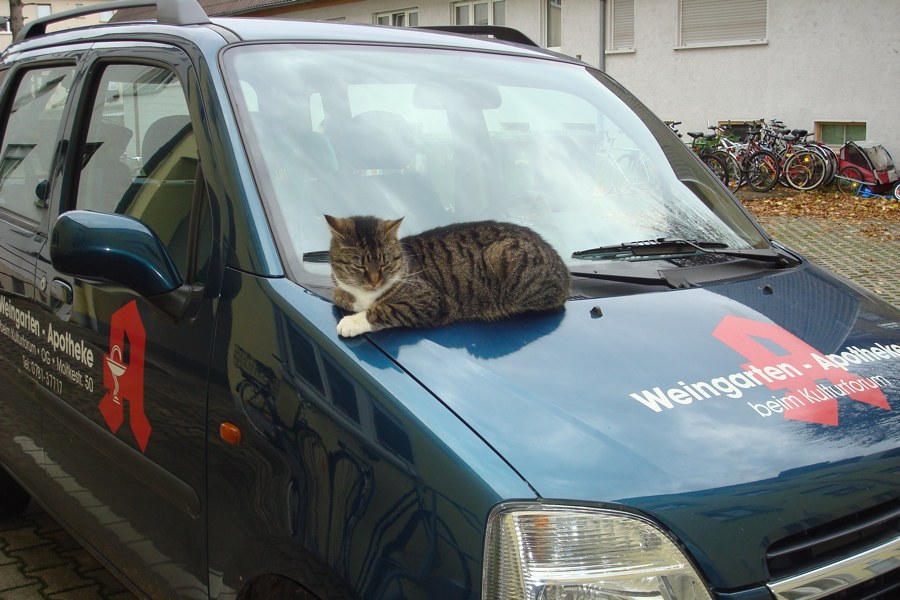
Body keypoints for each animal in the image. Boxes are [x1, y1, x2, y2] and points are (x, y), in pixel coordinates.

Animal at [326, 216, 568, 338]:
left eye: (385, 262)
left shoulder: (427, 300)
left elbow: (382, 309)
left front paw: (352, 321)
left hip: (503, 255)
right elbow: (338, 294)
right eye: (358, 264)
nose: (375, 281)